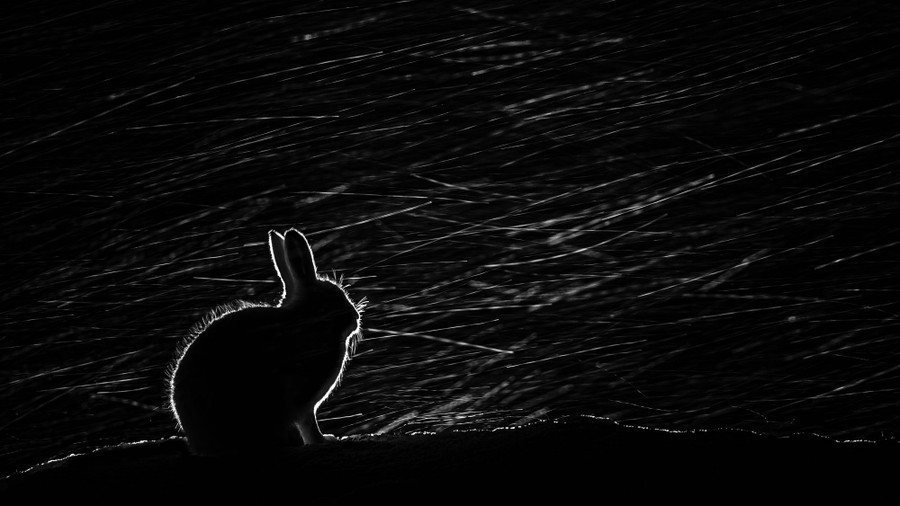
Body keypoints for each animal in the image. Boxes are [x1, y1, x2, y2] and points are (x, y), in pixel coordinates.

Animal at [168, 228, 365, 455]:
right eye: (332, 302)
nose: (356, 317)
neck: (309, 322)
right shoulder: (303, 402)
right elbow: (309, 425)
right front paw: (325, 440)